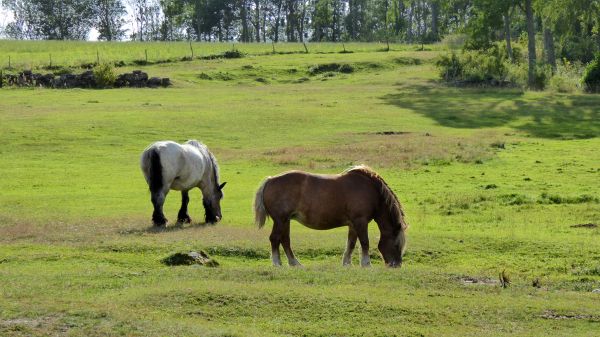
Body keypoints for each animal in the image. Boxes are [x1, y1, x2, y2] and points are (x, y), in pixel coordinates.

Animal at [253, 164, 408, 266]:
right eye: (396, 244)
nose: (397, 265)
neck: (372, 191)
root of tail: (270, 180)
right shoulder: (360, 221)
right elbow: (364, 242)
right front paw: (366, 264)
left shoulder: (353, 224)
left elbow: (351, 243)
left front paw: (347, 264)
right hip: (280, 220)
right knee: (275, 239)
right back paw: (277, 263)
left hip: (285, 221)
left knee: (285, 240)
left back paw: (294, 263)